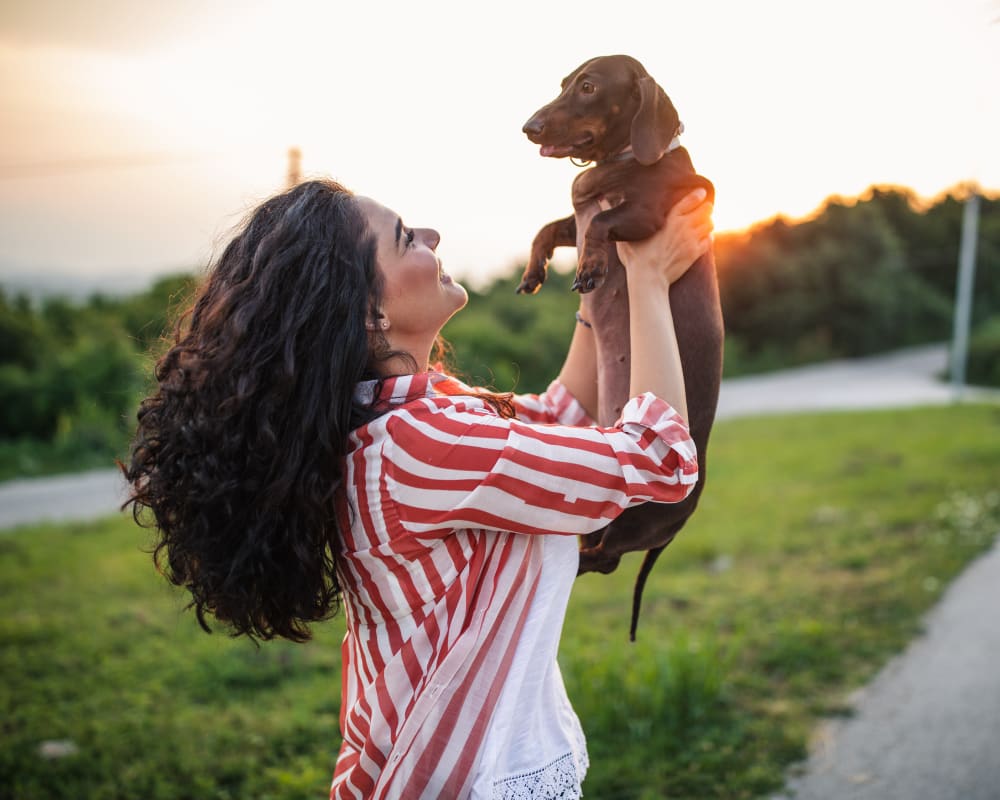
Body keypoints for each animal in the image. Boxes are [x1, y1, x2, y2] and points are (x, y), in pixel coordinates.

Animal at [520, 54, 724, 644]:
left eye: (589, 87)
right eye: (563, 83)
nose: (529, 128)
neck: (624, 161)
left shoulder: (647, 216)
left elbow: (605, 223)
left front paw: (590, 264)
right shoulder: (577, 215)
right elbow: (551, 226)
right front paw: (534, 269)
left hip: (633, 516)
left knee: (606, 560)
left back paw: (574, 560)